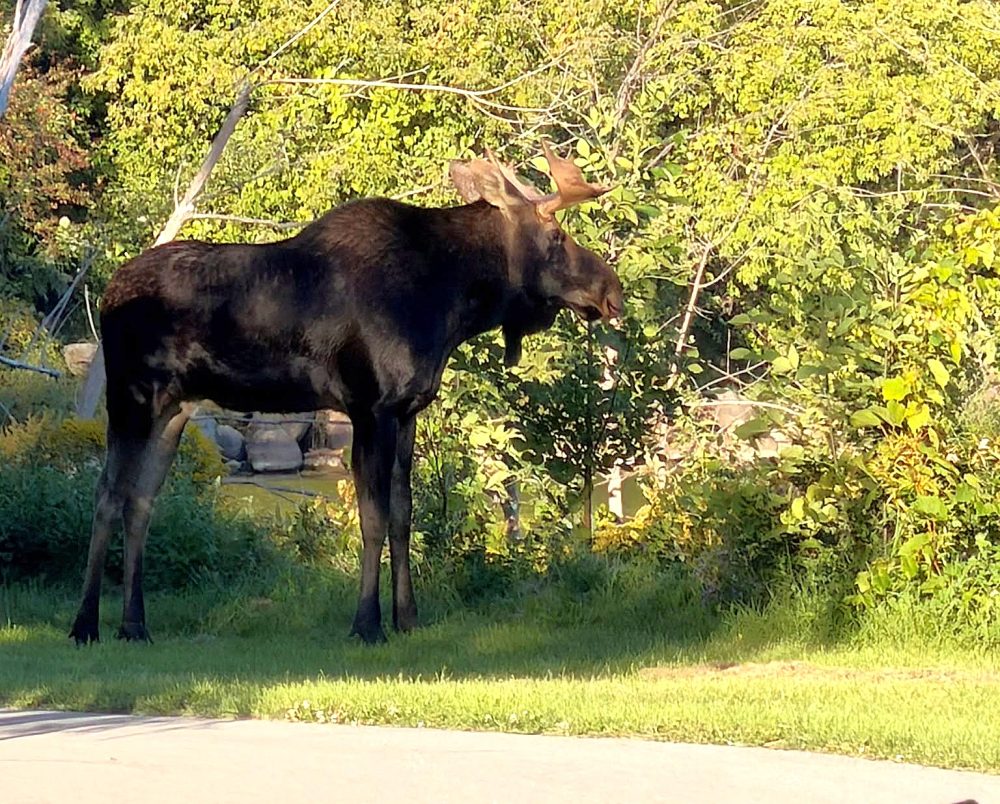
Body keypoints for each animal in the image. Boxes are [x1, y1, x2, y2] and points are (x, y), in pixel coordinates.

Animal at [70, 142, 624, 645]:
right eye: (557, 235)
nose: (611, 291)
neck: (452, 304)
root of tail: (108, 292)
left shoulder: (407, 410)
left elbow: (403, 516)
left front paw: (408, 618)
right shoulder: (370, 408)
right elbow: (373, 519)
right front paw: (367, 624)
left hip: (174, 409)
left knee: (141, 501)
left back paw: (134, 625)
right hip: (130, 397)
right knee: (106, 493)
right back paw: (86, 625)